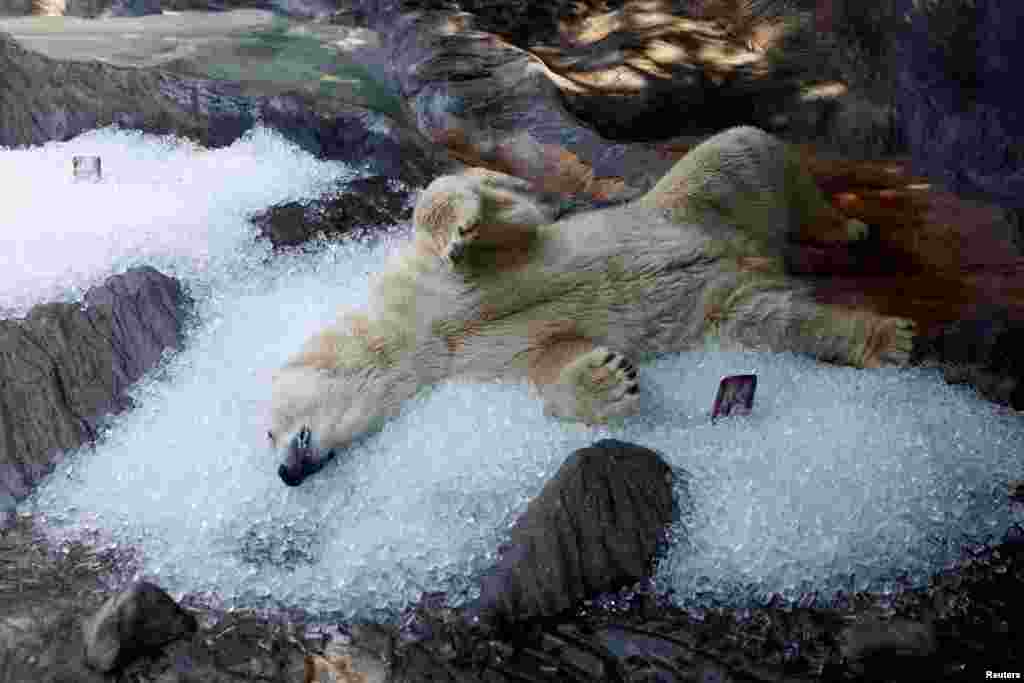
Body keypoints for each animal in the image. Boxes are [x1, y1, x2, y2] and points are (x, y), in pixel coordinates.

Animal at [268, 126, 917, 485]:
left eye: (269, 431)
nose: (285, 475)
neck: (419, 333)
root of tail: (753, 253)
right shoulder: (470, 364)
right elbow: (548, 356)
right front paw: (609, 380)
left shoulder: (422, 278)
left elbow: (497, 216)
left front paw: (462, 222)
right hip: (723, 300)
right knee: (775, 319)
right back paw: (883, 338)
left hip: (688, 201)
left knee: (745, 149)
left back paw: (848, 228)